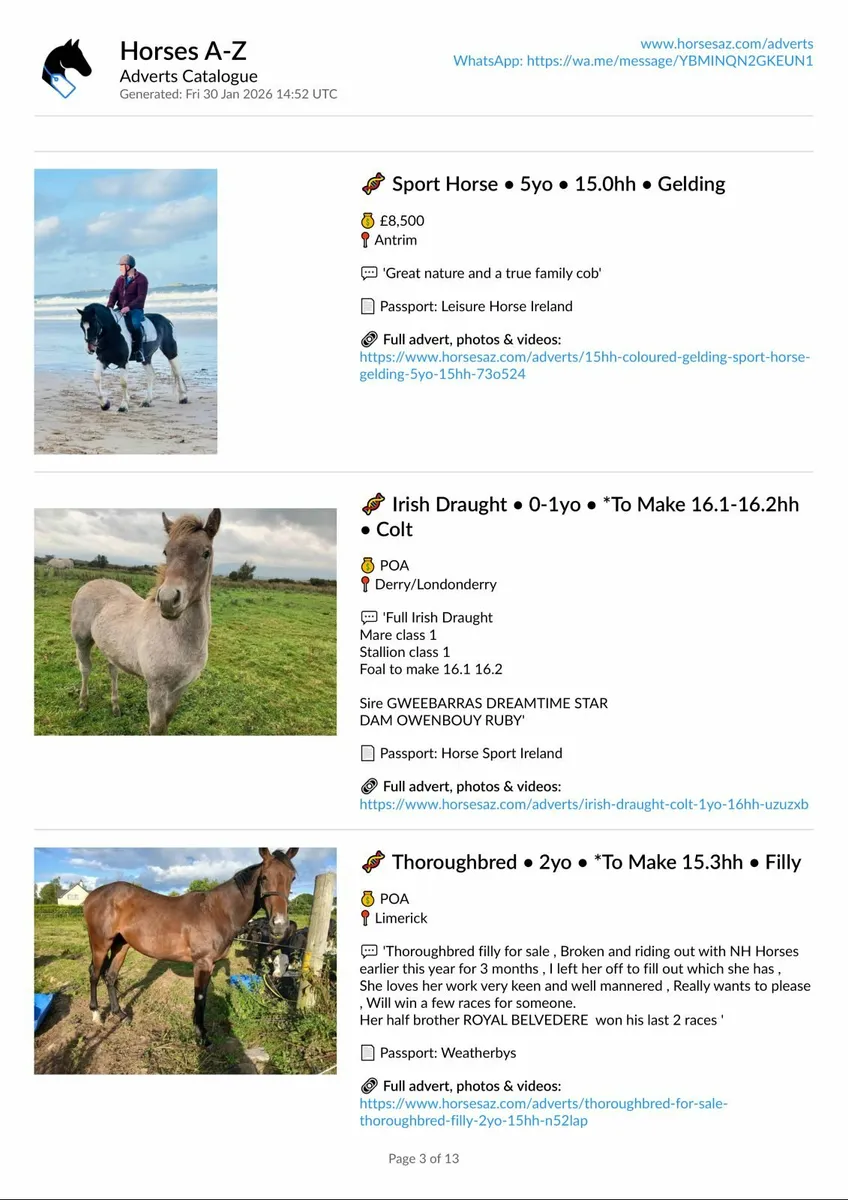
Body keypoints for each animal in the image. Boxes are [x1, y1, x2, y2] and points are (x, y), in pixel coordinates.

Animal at [70, 509, 221, 734]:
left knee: (112, 670)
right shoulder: (156, 689)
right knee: (85, 668)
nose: (167, 600)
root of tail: (90, 583)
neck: (178, 639)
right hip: (82, 641)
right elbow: (157, 728)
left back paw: (115, 707)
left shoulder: (180, 688)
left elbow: (167, 722)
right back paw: (82, 703)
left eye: (206, 553)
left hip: (112, 648)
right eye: (166, 552)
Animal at [83, 848, 299, 1045]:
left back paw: (120, 1014)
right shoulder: (202, 962)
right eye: (264, 877)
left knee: (110, 977)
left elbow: (203, 996)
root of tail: (91, 896)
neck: (217, 911)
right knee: (94, 974)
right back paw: (96, 1014)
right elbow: (200, 997)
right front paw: (201, 1035)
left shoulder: (210, 964)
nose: (279, 925)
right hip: (100, 944)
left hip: (121, 945)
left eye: (293, 877)